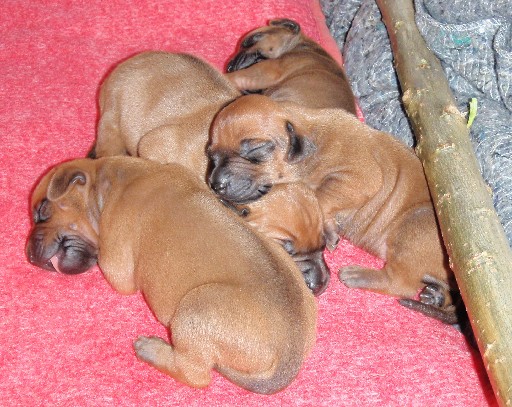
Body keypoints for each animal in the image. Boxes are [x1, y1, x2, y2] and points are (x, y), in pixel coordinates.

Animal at [28, 157, 318, 396]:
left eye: (42, 211)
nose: (28, 254)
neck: (112, 180)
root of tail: (289, 357)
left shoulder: (115, 265)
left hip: (195, 309)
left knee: (194, 374)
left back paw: (152, 350)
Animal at [208, 95, 460, 326]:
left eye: (255, 150)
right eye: (211, 155)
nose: (215, 184)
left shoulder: (360, 177)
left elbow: (320, 199)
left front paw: (326, 228)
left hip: (415, 223)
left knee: (400, 283)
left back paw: (359, 275)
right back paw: (435, 295)